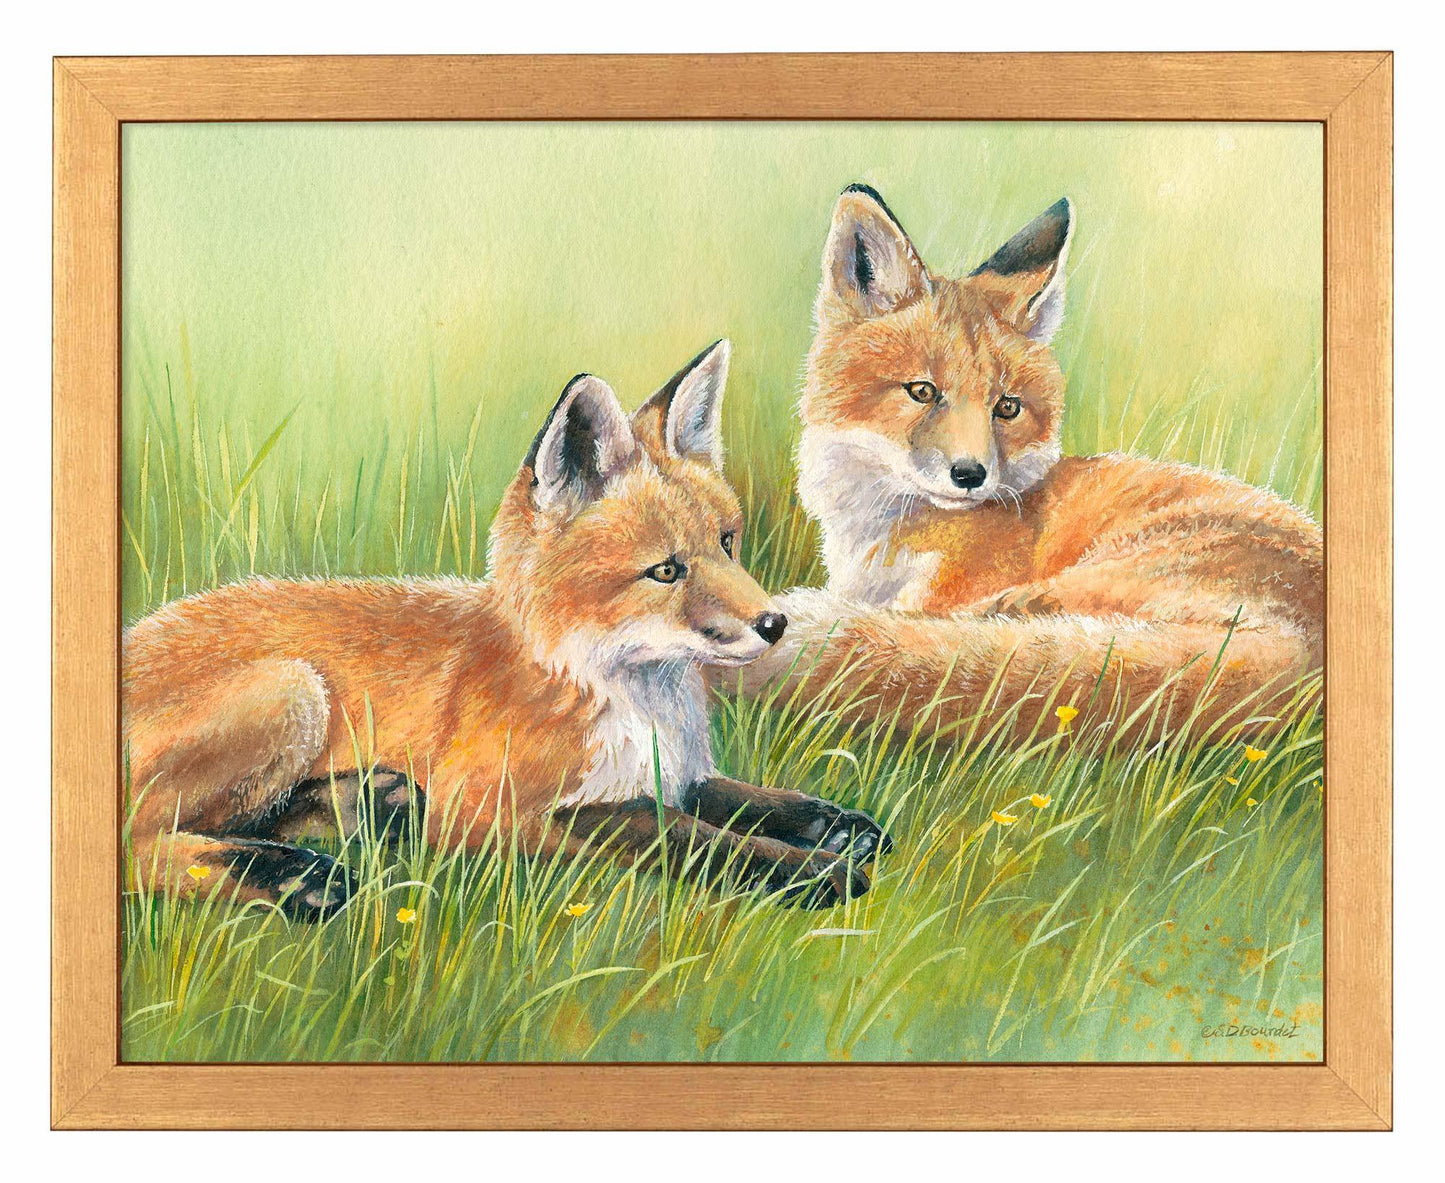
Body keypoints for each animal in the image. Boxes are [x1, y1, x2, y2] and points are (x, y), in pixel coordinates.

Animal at [122, 340, 888, 920]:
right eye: (666, 570)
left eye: (727, 543)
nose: (773, 624)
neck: (620, 695)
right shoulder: (495, 809)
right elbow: (679, 833)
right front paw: (813, 871)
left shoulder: (671, 771)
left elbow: (738, 800)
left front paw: (832, 824)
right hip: (294, 690)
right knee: (139, 843)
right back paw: (294, 877)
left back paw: (360, 807)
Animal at [738, 186, 1323, 741]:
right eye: (922, 391)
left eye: (1007, 407)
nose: (970, 476)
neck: (884, 538)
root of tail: (1306, 654)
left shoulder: (942, 592)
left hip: (1085, 579)